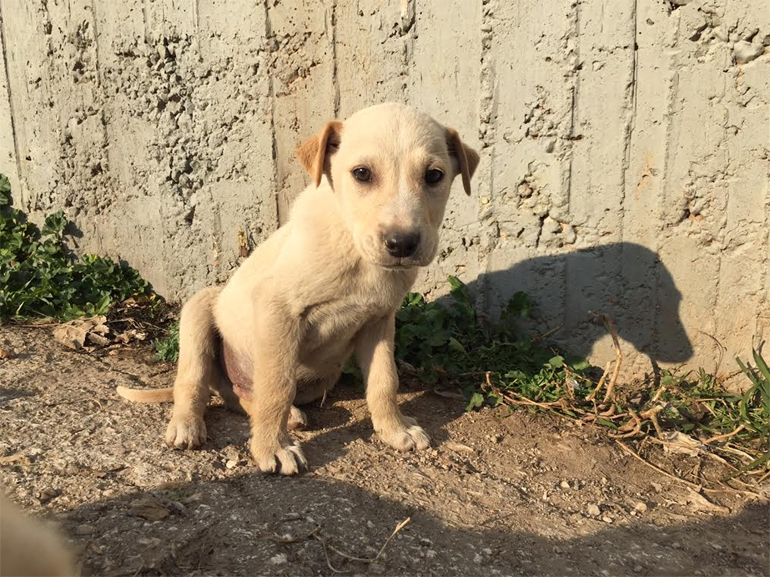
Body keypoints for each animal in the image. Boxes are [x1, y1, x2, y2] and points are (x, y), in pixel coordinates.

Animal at [117, 103, 479, 475]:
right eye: (362, 173)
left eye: (434, 176)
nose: (402, 243)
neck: (355, 250)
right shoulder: (278, 310)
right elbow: (277, 386)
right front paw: (272, 448)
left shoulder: (379, 321)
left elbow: (384, 381)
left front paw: (395, 429)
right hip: (200, 311)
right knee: (193, 383)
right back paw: (188, 425)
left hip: (319, 378)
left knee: (242, 398)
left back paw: (282, 416)